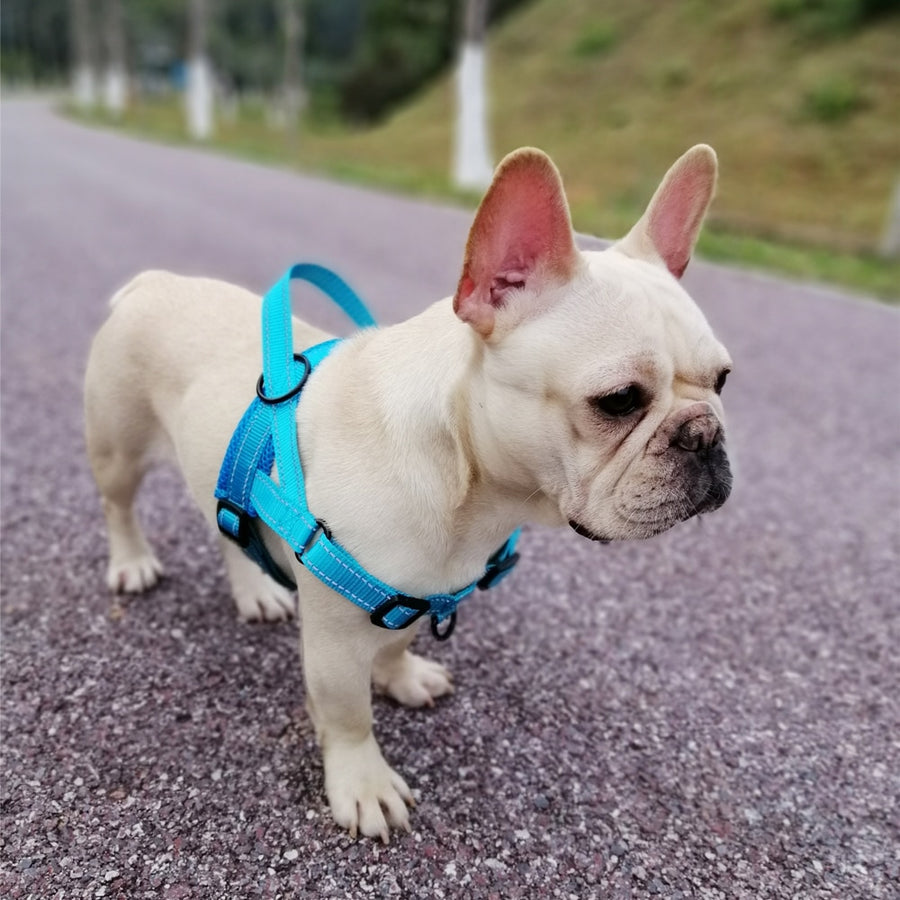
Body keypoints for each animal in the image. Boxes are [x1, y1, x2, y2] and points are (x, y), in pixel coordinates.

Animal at [82, 144, 732, 840]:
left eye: (724, 379)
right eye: (618, 401)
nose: (704, 433)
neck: (470, 486)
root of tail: (153, 282)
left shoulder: (421, 592)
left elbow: (397, 641)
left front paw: (401, 677)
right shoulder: (336, 640)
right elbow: (347, 713)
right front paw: (362, 783)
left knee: (230, 526)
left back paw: (255, 591)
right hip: (118, 447)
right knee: (118, 504)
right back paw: (132, 563)